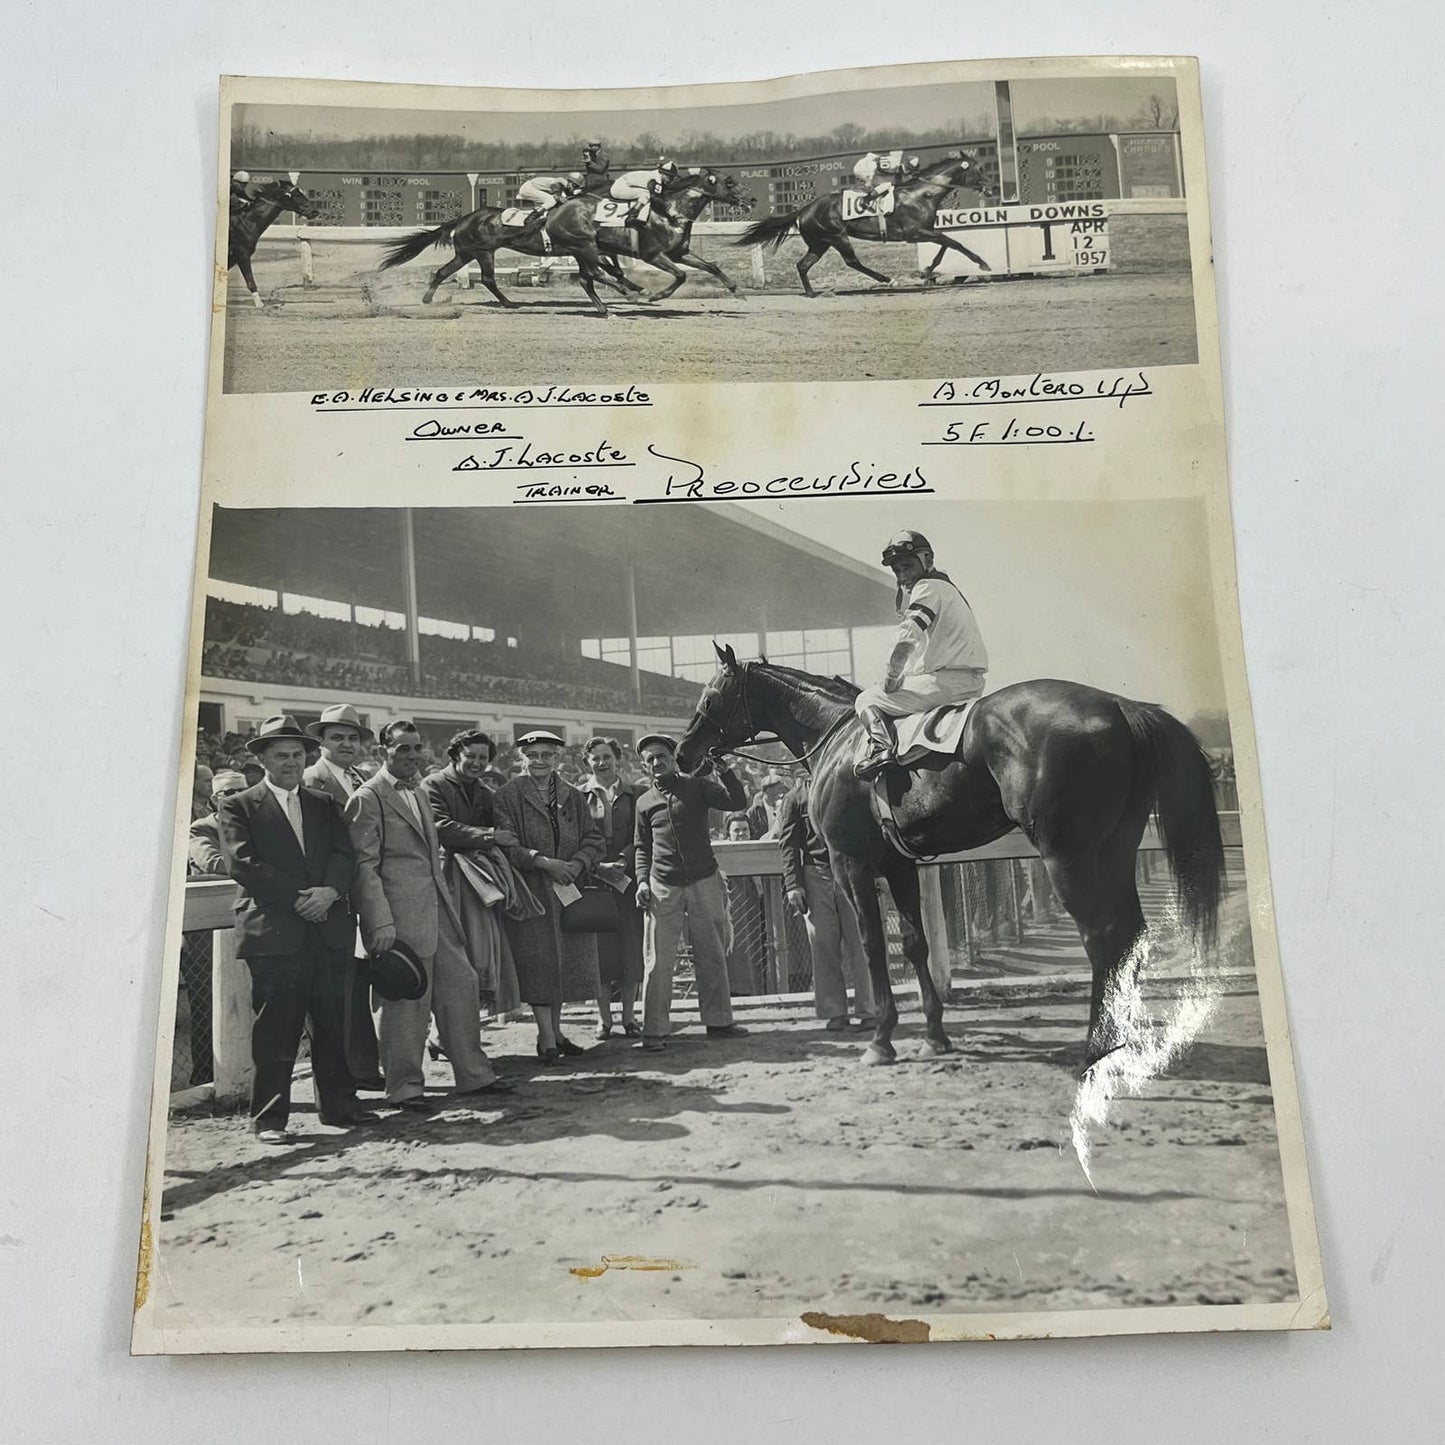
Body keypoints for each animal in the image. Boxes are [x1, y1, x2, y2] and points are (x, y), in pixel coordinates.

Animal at [228, 177, 319, 307]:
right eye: (296, 194)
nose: (315, 211)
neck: (246, 222)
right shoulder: (242, 254)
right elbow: (250, 281)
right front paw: (260, 304)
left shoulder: (235, 257)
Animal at [673, 650, 1219, 1080]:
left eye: (712, 695)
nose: (682, 752)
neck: (839, 739)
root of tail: (1120, 706)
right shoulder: (898, 865)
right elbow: (915, 943)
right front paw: (934, 1035)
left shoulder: (851, 862)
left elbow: (872, 946)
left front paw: (881, 1040)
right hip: (1114, 848)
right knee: (1130, 934)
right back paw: (1122, 1041)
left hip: (1068, 856)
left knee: (1102, 937)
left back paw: (1094, 1048)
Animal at [734, 153, 994, 297]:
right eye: (980, 169)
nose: (991, 187)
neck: (922, 194)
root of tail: (803, 209)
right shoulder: (915, 232)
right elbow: (954, 242)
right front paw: (982, 263)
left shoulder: (926, 231)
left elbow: (946, 245)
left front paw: (928, 270)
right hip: (837, 236)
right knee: (852, 261)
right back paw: (888, 280)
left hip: (820, 243)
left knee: (803, 264)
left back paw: (811, 293)